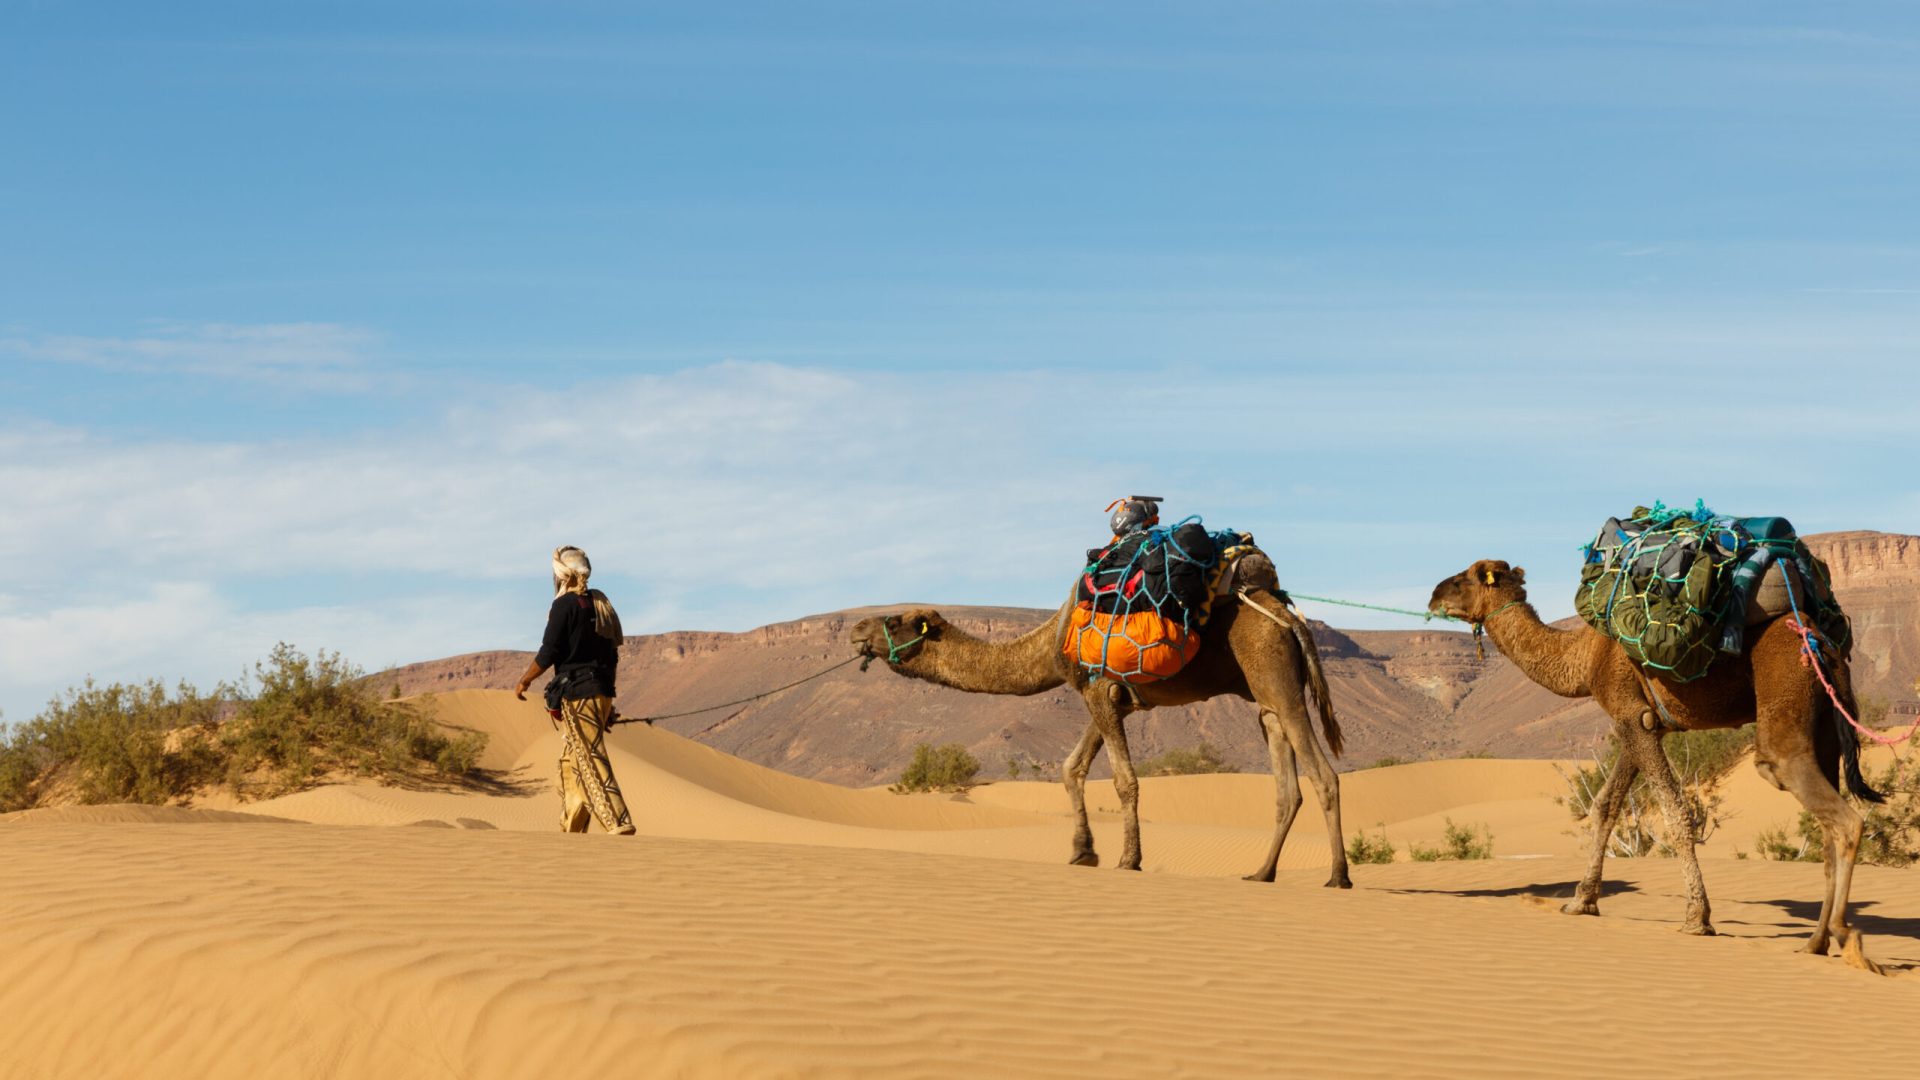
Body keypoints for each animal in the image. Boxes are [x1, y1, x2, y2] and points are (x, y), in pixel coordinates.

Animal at [849, 585, 1351, 886]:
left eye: (894, 621)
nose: (855, 629)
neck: (1051, 643)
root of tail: (1293, 620)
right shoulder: (1110, 696)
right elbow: (1071, 768)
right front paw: (1082, 852)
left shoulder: (1099, 690)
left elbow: (1125, 780)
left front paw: (1128, 859)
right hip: (1263, 695)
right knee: (1286, 786)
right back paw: (1261, 873)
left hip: (1276, 676)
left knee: (1324, 774)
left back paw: (1338, 875)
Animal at [1428, 559, 1884, 970]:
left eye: (1463, 579)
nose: (1433, 596)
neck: (1584, 656)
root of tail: (1821, 642)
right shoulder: (1641, 722)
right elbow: (1606, 806)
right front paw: (1580, 901)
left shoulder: (1632, 716)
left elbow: (1675, 812)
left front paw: (1697, 918)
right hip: (1825, 721)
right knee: (1827, 823)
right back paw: (1815, 942)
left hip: (1785, 695)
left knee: (1830, 808)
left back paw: (1843, 937)